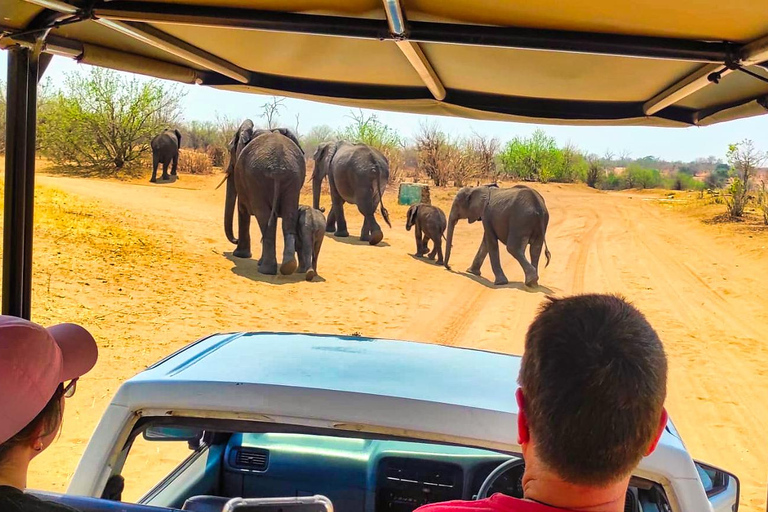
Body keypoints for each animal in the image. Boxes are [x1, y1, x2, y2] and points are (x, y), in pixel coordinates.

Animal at [222, 118, 306, 276]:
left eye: (230, 150)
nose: (235, 240)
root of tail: (278, 168)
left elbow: (242, 209)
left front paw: (240, 255)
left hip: (257, 179)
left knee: (265, 218)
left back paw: (266, 270)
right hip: (293, 179)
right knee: (289, 217)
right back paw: (288, 267)